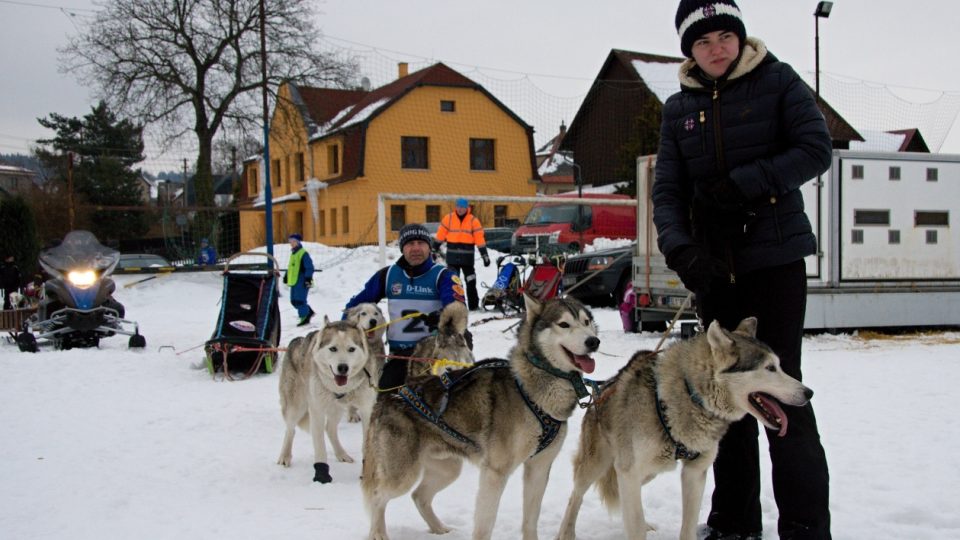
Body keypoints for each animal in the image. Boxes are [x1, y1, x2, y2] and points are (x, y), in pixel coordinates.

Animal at [276, 316, 376, 486]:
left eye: (351, 349)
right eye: (333, 349)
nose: (343, 367)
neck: (342, 388)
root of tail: (297, 340)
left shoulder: (366, 410)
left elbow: (366, 445)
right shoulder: (317, 410)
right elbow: (320, 449)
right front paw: (321, 476)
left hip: (336, 409)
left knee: (330, 429)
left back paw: (342, 454)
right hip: (296, 407)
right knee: (290, 430)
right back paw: (284, 456)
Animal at [362, 296, 596, 540]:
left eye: (586, 321)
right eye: (564, 324)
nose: (593, 341)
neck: (534, 394)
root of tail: (388, 397)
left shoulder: (539, 468)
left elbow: (531, 520)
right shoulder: (495, 473)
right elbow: (485, 526)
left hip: (448, 469)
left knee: (419, 496)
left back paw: (438, 528)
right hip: (402, 474)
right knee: (376, 497)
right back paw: (378, 533)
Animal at [556, 316, 808, 540]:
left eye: (779, 366)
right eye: (770, 368)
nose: (809, 393)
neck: (690, 394)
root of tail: (600, 390)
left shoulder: (694, 472)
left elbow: (685, 528)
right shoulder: (629, 470)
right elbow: (634, 527)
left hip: (648, 471)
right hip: (598, 464)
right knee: (575, 496)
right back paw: (565, 533)